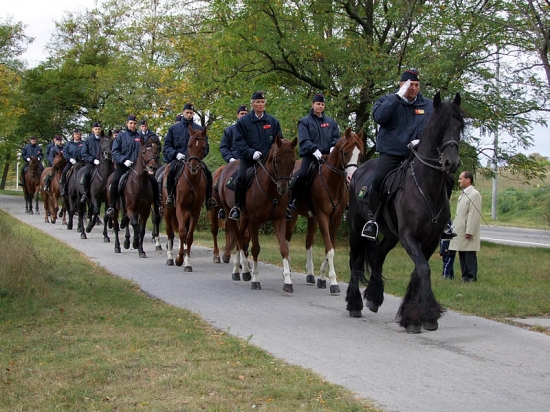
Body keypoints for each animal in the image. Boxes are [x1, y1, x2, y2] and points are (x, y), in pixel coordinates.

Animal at [163, 127, 208, 271]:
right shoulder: (180, 208)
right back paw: (170, 258)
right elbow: (182, 232)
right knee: (170, 232)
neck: (192, 180)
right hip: (168, 210)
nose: (193, 167)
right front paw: (179, 259)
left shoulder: (194, 211)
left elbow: (189, 236)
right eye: (189, 145)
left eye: (203, 147)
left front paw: (187, 263)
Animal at [218, 135, 298, 292]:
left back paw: (239, 270)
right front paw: (255, 279)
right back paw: (243, 271)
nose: (283, 189)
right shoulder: (254, 221)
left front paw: (288, 281)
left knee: (240, 240)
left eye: (292, 161)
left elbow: (284, 249)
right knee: (239, 239)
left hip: (244, 218)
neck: (270, 190)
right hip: (232, 215)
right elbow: (255, 249)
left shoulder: (280, 219)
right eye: (276, 160)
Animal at [286, 128, 364, 294]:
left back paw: (310, 274)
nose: (351, 177)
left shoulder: (336, 218)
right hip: (293, 215)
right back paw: (288, 267)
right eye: (345, 152)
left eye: (360, 153)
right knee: (287, 238)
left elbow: (330, 247)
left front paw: (322, 277)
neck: (331, 181)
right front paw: (333, 282)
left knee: (308, 241)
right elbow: (330, 249)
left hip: (312, 218)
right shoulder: (323, 216)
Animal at [345, 92, 464, 333]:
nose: (452, 162)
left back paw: (374, 297)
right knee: (355, 261)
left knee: (379, 256)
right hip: (356, 227)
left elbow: (419, 271)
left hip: (391, 234)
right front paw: (428, 314)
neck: (426, 187)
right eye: (439, 126)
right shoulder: (409, 236)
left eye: (459, 126)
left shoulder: (431, 239)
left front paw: (413, 317)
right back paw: (355, 304)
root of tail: (358, 171)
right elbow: (424, 269)